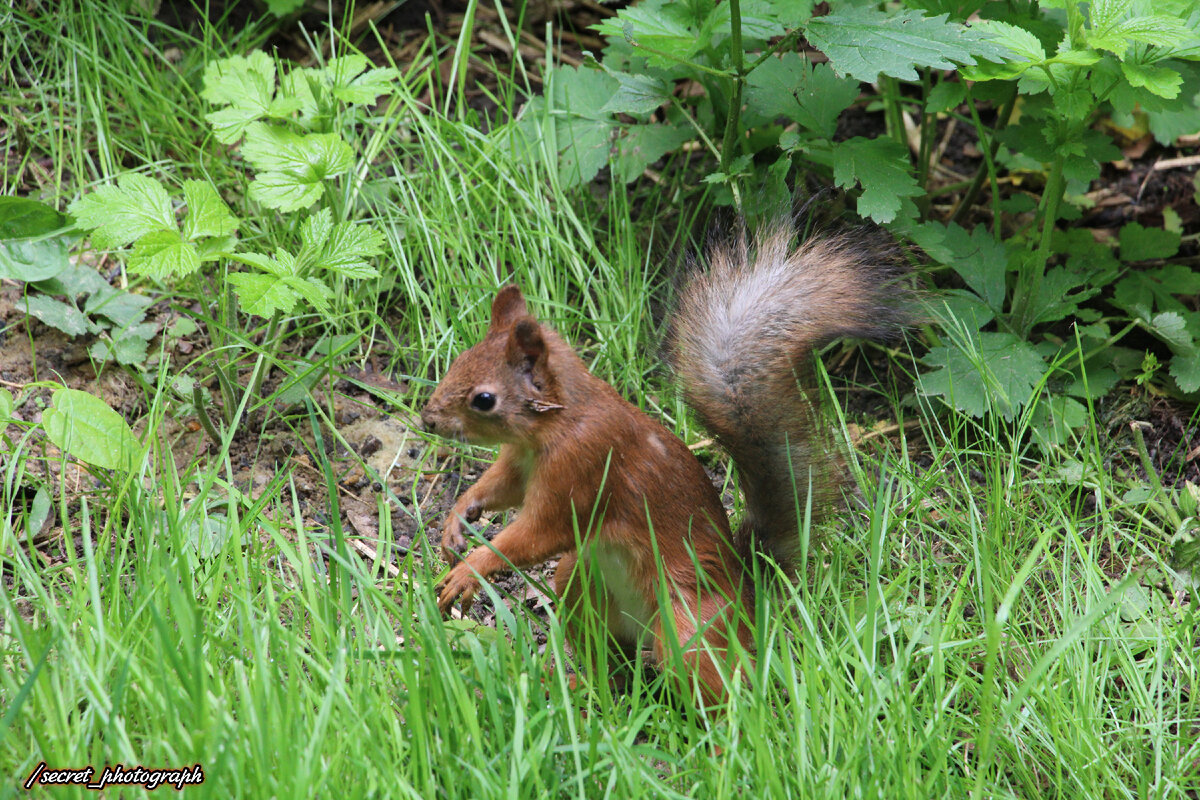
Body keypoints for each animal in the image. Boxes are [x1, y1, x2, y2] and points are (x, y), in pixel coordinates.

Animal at [422, 221, 907, 705]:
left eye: (484, 399)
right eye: (459, 361)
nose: (428, 419)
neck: (556, 423)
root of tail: (748, 597)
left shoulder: (582, 468)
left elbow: (539, 532)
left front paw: (471, 569)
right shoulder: (519, 463)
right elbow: (499, 487)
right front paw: (458, 518)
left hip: (688, 626)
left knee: (716, 682)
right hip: (579, 579)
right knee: (613, 664)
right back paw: (585, 686)